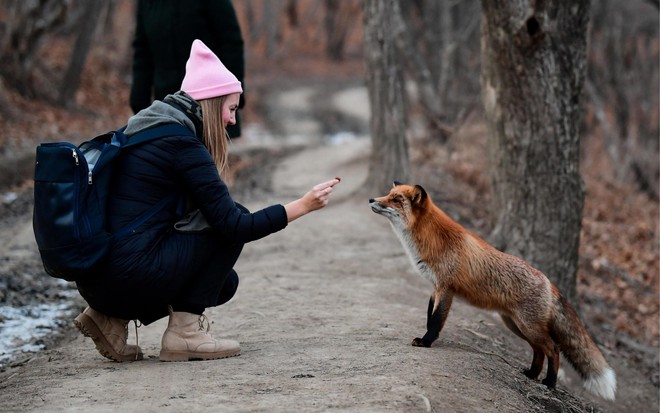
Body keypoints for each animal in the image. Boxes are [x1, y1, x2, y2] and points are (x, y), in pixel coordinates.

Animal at [368, 181, 616, 400]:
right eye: (388, 194)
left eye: (396, 199)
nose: (371, 199)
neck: (432, 240)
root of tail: (549, 282)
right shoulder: (434, 287)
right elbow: (429, 316)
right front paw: (426, 338)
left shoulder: (446, 288)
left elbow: (436, 320)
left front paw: (427, 341)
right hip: (516, 325)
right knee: (539, 350)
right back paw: (531, 374)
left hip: (528, 326)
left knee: (553, 349)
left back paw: (550, 383)